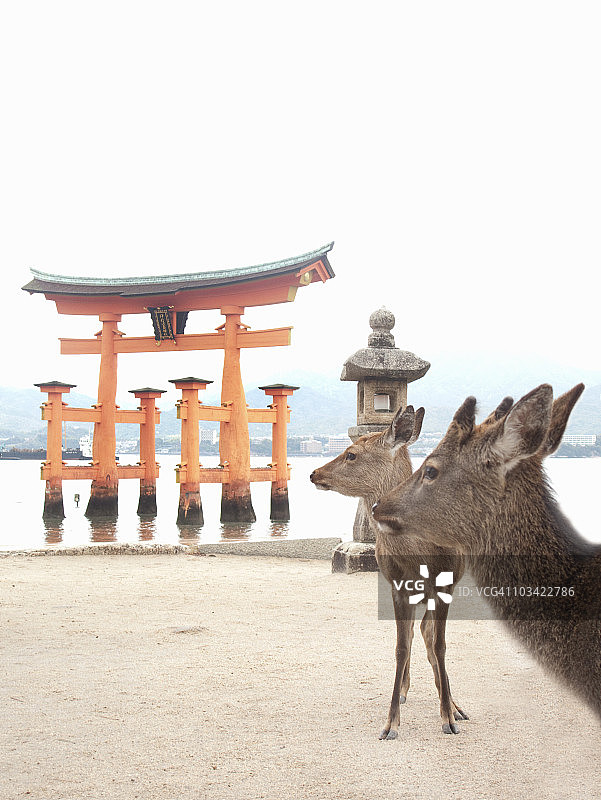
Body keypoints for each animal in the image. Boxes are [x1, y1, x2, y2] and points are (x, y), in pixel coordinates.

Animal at [310, 405, 472, 737]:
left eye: (351, 454)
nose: (314, 473)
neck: (419, 554)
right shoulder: (398, 586)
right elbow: (400, 646)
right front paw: (391, 722)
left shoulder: (445, 585)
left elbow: (440, 645)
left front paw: (448, 718)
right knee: (415, 632)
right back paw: (411, 691)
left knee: (428, 635)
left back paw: (454, 706)